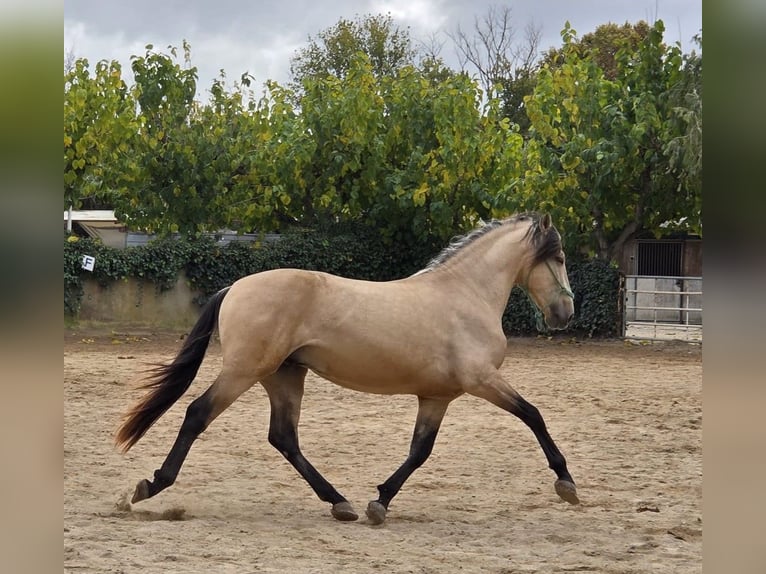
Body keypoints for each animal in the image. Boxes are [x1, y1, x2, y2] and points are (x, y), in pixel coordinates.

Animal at [116, 212, 579, 525]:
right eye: (558, 256)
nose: (565, 313)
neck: (464, 295)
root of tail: (234, 287)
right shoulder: (482, 380)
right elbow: (534, 415)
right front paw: (566, 484)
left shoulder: (437, 397)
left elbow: (419, 451)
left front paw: (379, 502)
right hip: (244, 372)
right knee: (198, 414)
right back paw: (149, 487)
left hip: (284, 376)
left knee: (283, 437)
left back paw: (340, 502)